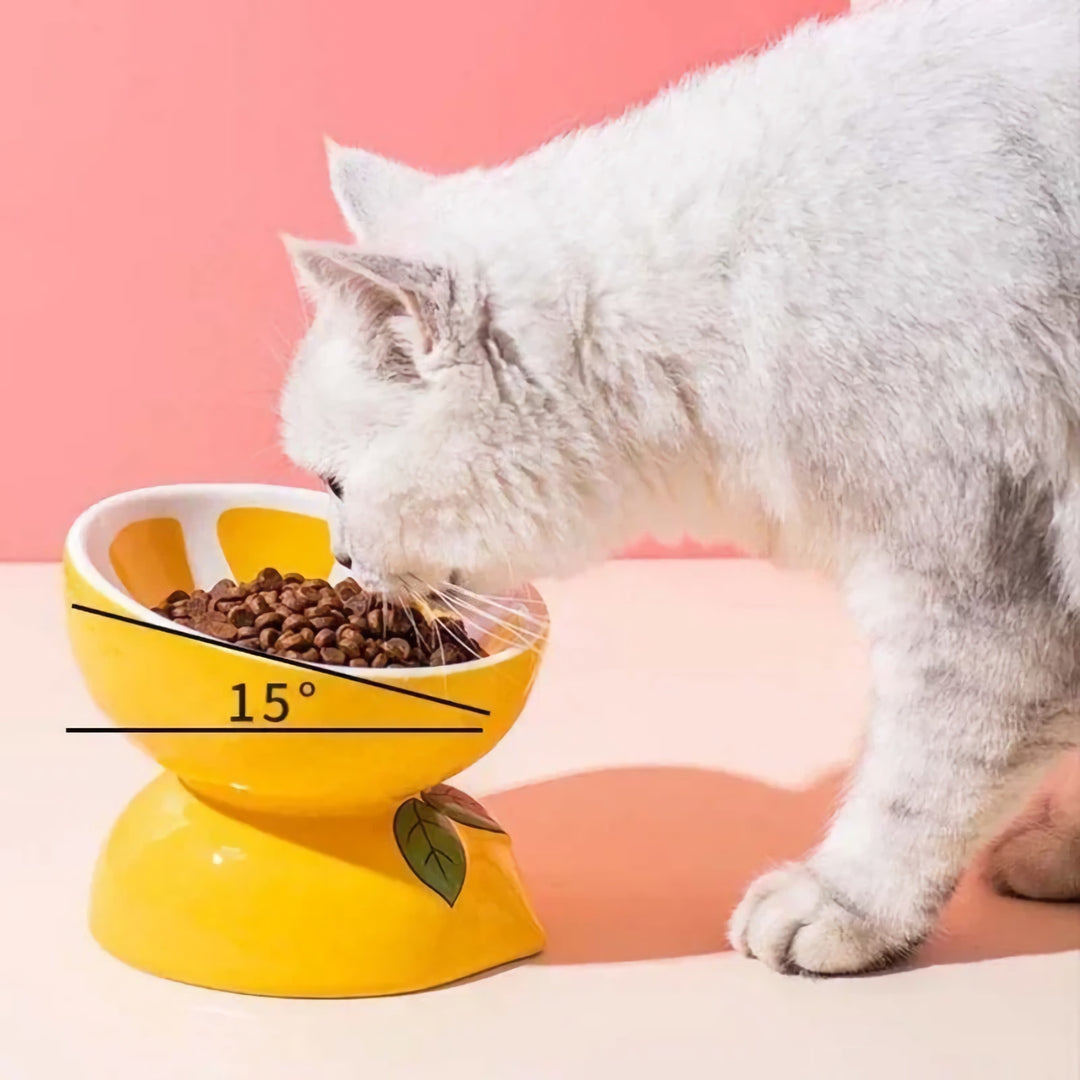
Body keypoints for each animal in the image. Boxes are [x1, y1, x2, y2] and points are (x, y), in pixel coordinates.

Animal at [280, 0, 1080, 976]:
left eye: (333, 481)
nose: (341, 560)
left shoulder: (977, 583)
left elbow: (919, 781)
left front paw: (845, 906)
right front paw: (1068, 853)